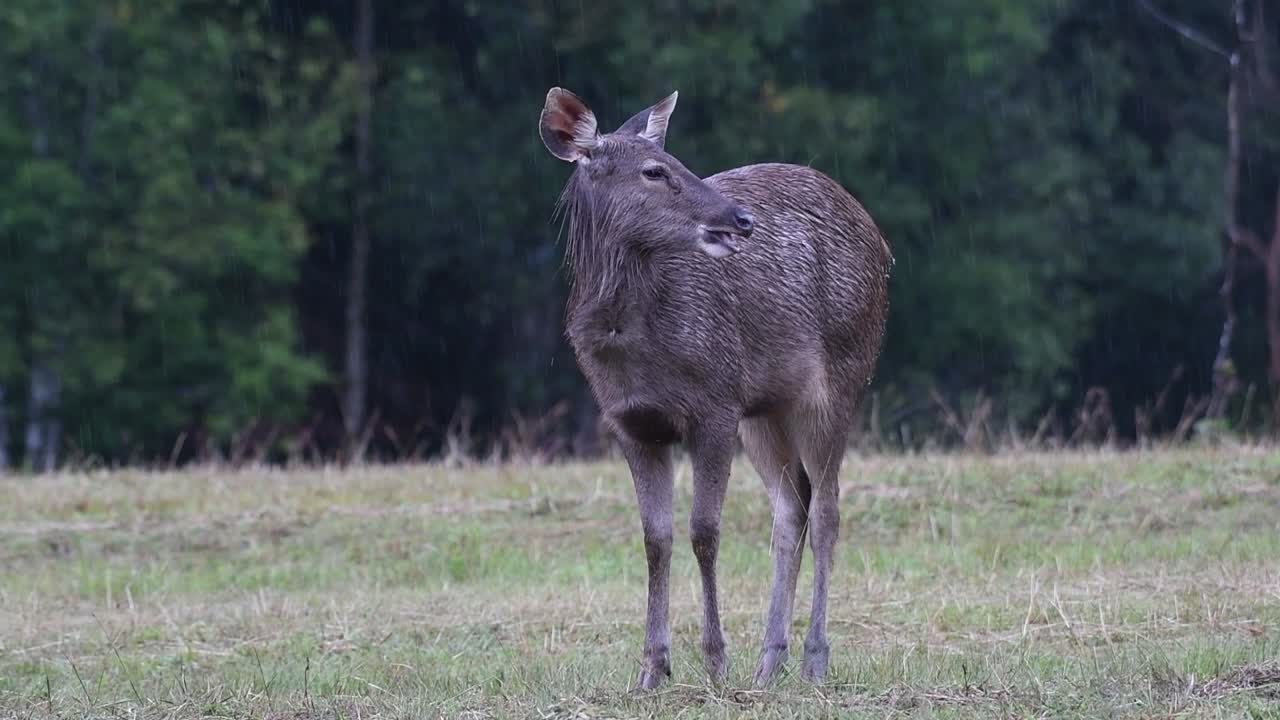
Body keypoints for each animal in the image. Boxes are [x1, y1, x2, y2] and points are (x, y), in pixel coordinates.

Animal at [539, 88, 891, 689]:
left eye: (677, 160)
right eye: (654, 170)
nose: (741, 219)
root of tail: (882, 243)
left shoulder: (716, 404)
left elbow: (705, 530)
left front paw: (715, 660)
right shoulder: (629, 422)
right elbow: (656, 537)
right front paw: (653, 669)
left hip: (839, 377)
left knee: (827, 509)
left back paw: (814, 660)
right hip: (766, 410)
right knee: (792, 507)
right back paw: (769, 662)